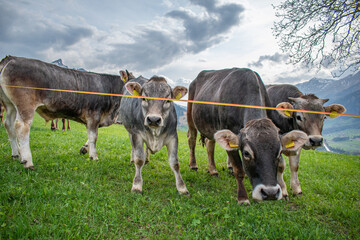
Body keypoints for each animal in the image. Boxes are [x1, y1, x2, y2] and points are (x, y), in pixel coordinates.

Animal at [0, 55, 132, 169]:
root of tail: (11, 58)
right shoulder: (93, 115)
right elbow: (93, 136)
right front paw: (93, 156)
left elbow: (90, 136)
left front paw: (85, 148)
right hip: (25, 103)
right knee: (22, 126)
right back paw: (27, 161)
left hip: (10, 105)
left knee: (8, 124)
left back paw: (16, 154)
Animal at [187, 68, 308, 204]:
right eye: (246, 153)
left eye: (279, 153)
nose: (270, 193)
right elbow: (239, 170)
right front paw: (243, 198)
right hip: (191, 117)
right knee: (191, 140)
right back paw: (193, 165)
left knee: (210, 145)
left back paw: (213, 170)